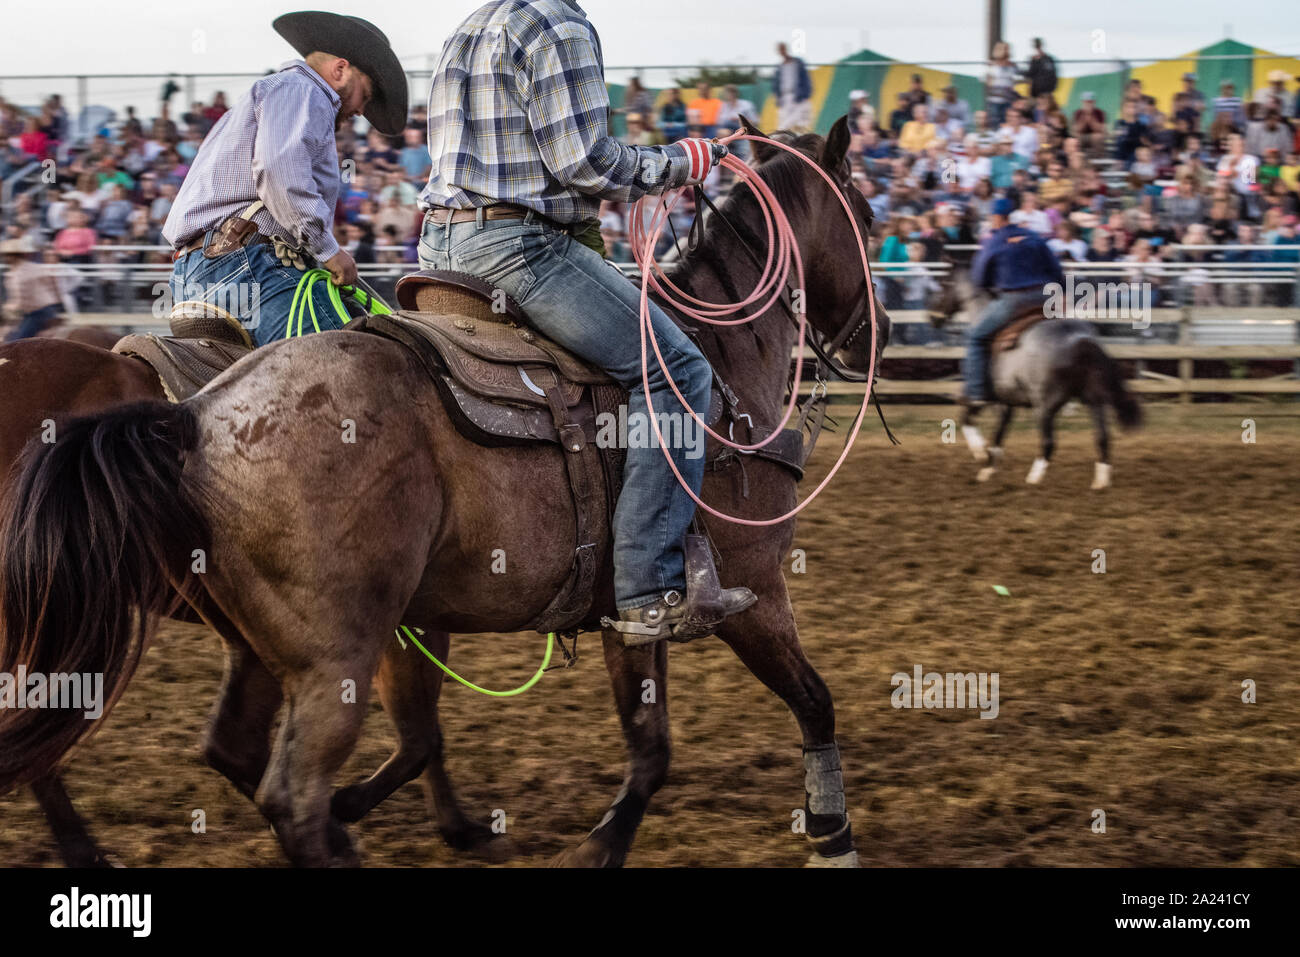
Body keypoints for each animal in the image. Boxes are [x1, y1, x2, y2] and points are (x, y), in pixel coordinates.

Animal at [0, 115, 889, 863]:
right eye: (868, 218)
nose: (868, 336)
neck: (722, 364)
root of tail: (198, 415)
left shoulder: (627, 611)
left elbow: (647, 743)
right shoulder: (752, 591)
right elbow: (812, 702)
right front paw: (831, 834)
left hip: (256, 643)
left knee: (225, 749)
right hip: (334, 652)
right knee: (283, 790)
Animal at [935, 273, 1138, 488]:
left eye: (942, 284)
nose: (933, 317)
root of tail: (1079, 340)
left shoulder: (984, 398)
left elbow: (967, 418)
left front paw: (981, 453)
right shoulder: (1006, 402)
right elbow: (999, 432)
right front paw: (988, 468)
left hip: (1045, 406)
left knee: (1049, 442)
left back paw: (1033, 479)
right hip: (1095, 400)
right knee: (1102, 436)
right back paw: (1101, 481)